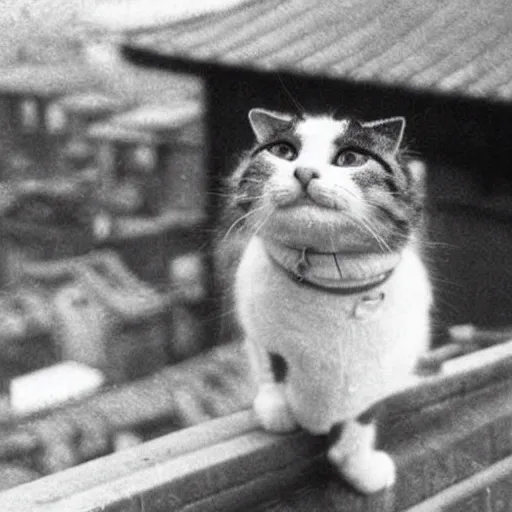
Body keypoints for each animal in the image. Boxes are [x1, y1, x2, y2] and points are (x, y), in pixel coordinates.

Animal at [228, 107, 432, 492]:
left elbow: (360, 422)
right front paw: (277, 410)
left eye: (350, 159)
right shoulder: (257, 326)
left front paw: (361, 469)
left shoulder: (378, 377)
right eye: (283, 152)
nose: (305, 171)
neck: (328, 286)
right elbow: (271, 362)